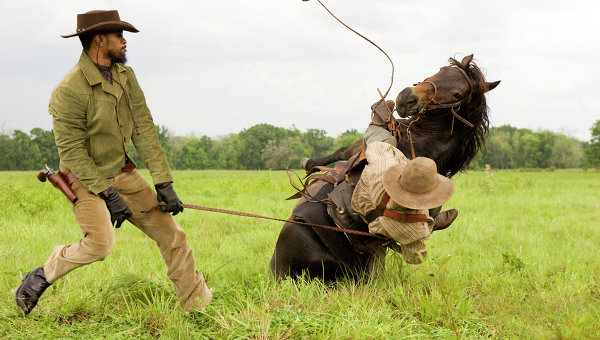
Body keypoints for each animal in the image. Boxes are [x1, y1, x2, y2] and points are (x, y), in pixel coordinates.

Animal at [270, 54, 500, 280]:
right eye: (441, 70)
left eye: (457, 94)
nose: (406, 97)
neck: (423, 142)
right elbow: (340, 154)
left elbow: (342, 152)